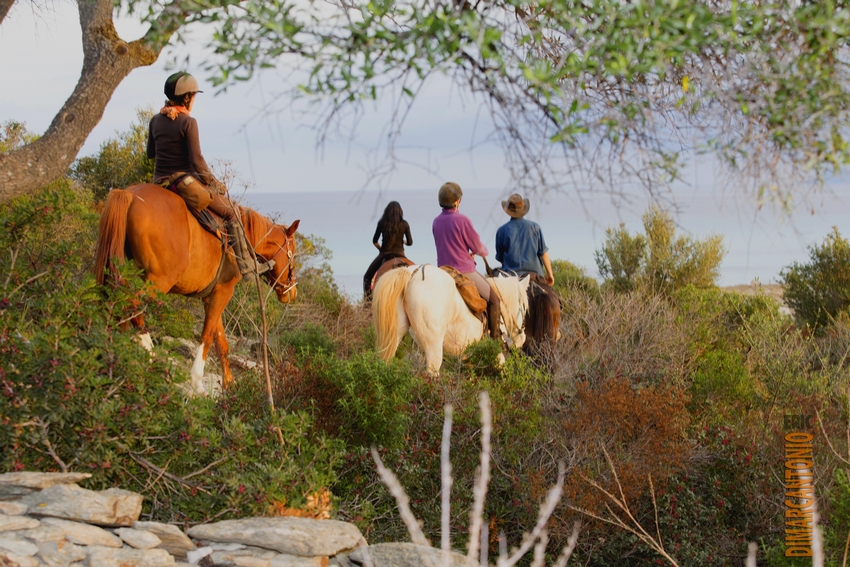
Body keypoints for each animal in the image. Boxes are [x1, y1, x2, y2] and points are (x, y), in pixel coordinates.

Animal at [94, 183, 299, 392]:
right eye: (293, 253)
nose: (292, 292)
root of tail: (130, 193)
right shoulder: (224, 292)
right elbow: (207, 335)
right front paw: (197, 380)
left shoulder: (211, 296)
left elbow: (221, 340)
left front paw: (229, 383)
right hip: (159, 281)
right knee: (131, 305)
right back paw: (149, 353)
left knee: (116, 307)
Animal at [372, 265, 530, 374]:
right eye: (524, 306)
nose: (522, 338)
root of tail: (412, 273)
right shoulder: (496, 355)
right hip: (433, 347)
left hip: (395, 336)